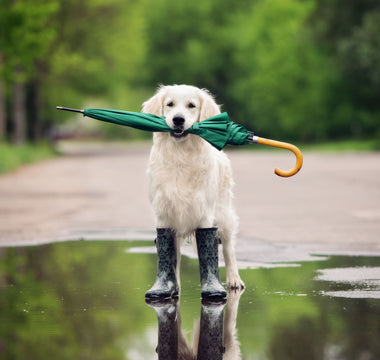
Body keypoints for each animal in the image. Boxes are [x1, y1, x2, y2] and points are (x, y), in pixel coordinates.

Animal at [142, 83, 243, 290]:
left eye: (191, 105)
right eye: (170, 104)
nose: (178, 119)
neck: (181, 155)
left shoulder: (204, 213)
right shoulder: (164, 213)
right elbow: (170, 255)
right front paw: (169, 287)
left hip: (223, 213)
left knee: (228, 247)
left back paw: (233, 279)